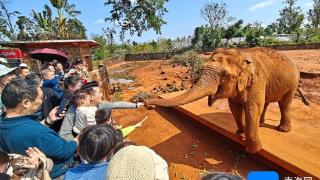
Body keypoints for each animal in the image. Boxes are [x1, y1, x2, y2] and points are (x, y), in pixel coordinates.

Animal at [146, 47, 302, 153]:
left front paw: (254, 149)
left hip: (294, 81)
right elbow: (235, 106)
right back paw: (261, 123)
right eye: (202, 68)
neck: (241, 54)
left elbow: (252, 107)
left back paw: (282, 130)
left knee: (284, 104)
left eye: (226, 75)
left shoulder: (256, 80)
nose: (147, 104)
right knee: (268, 102)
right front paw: (240, 134)